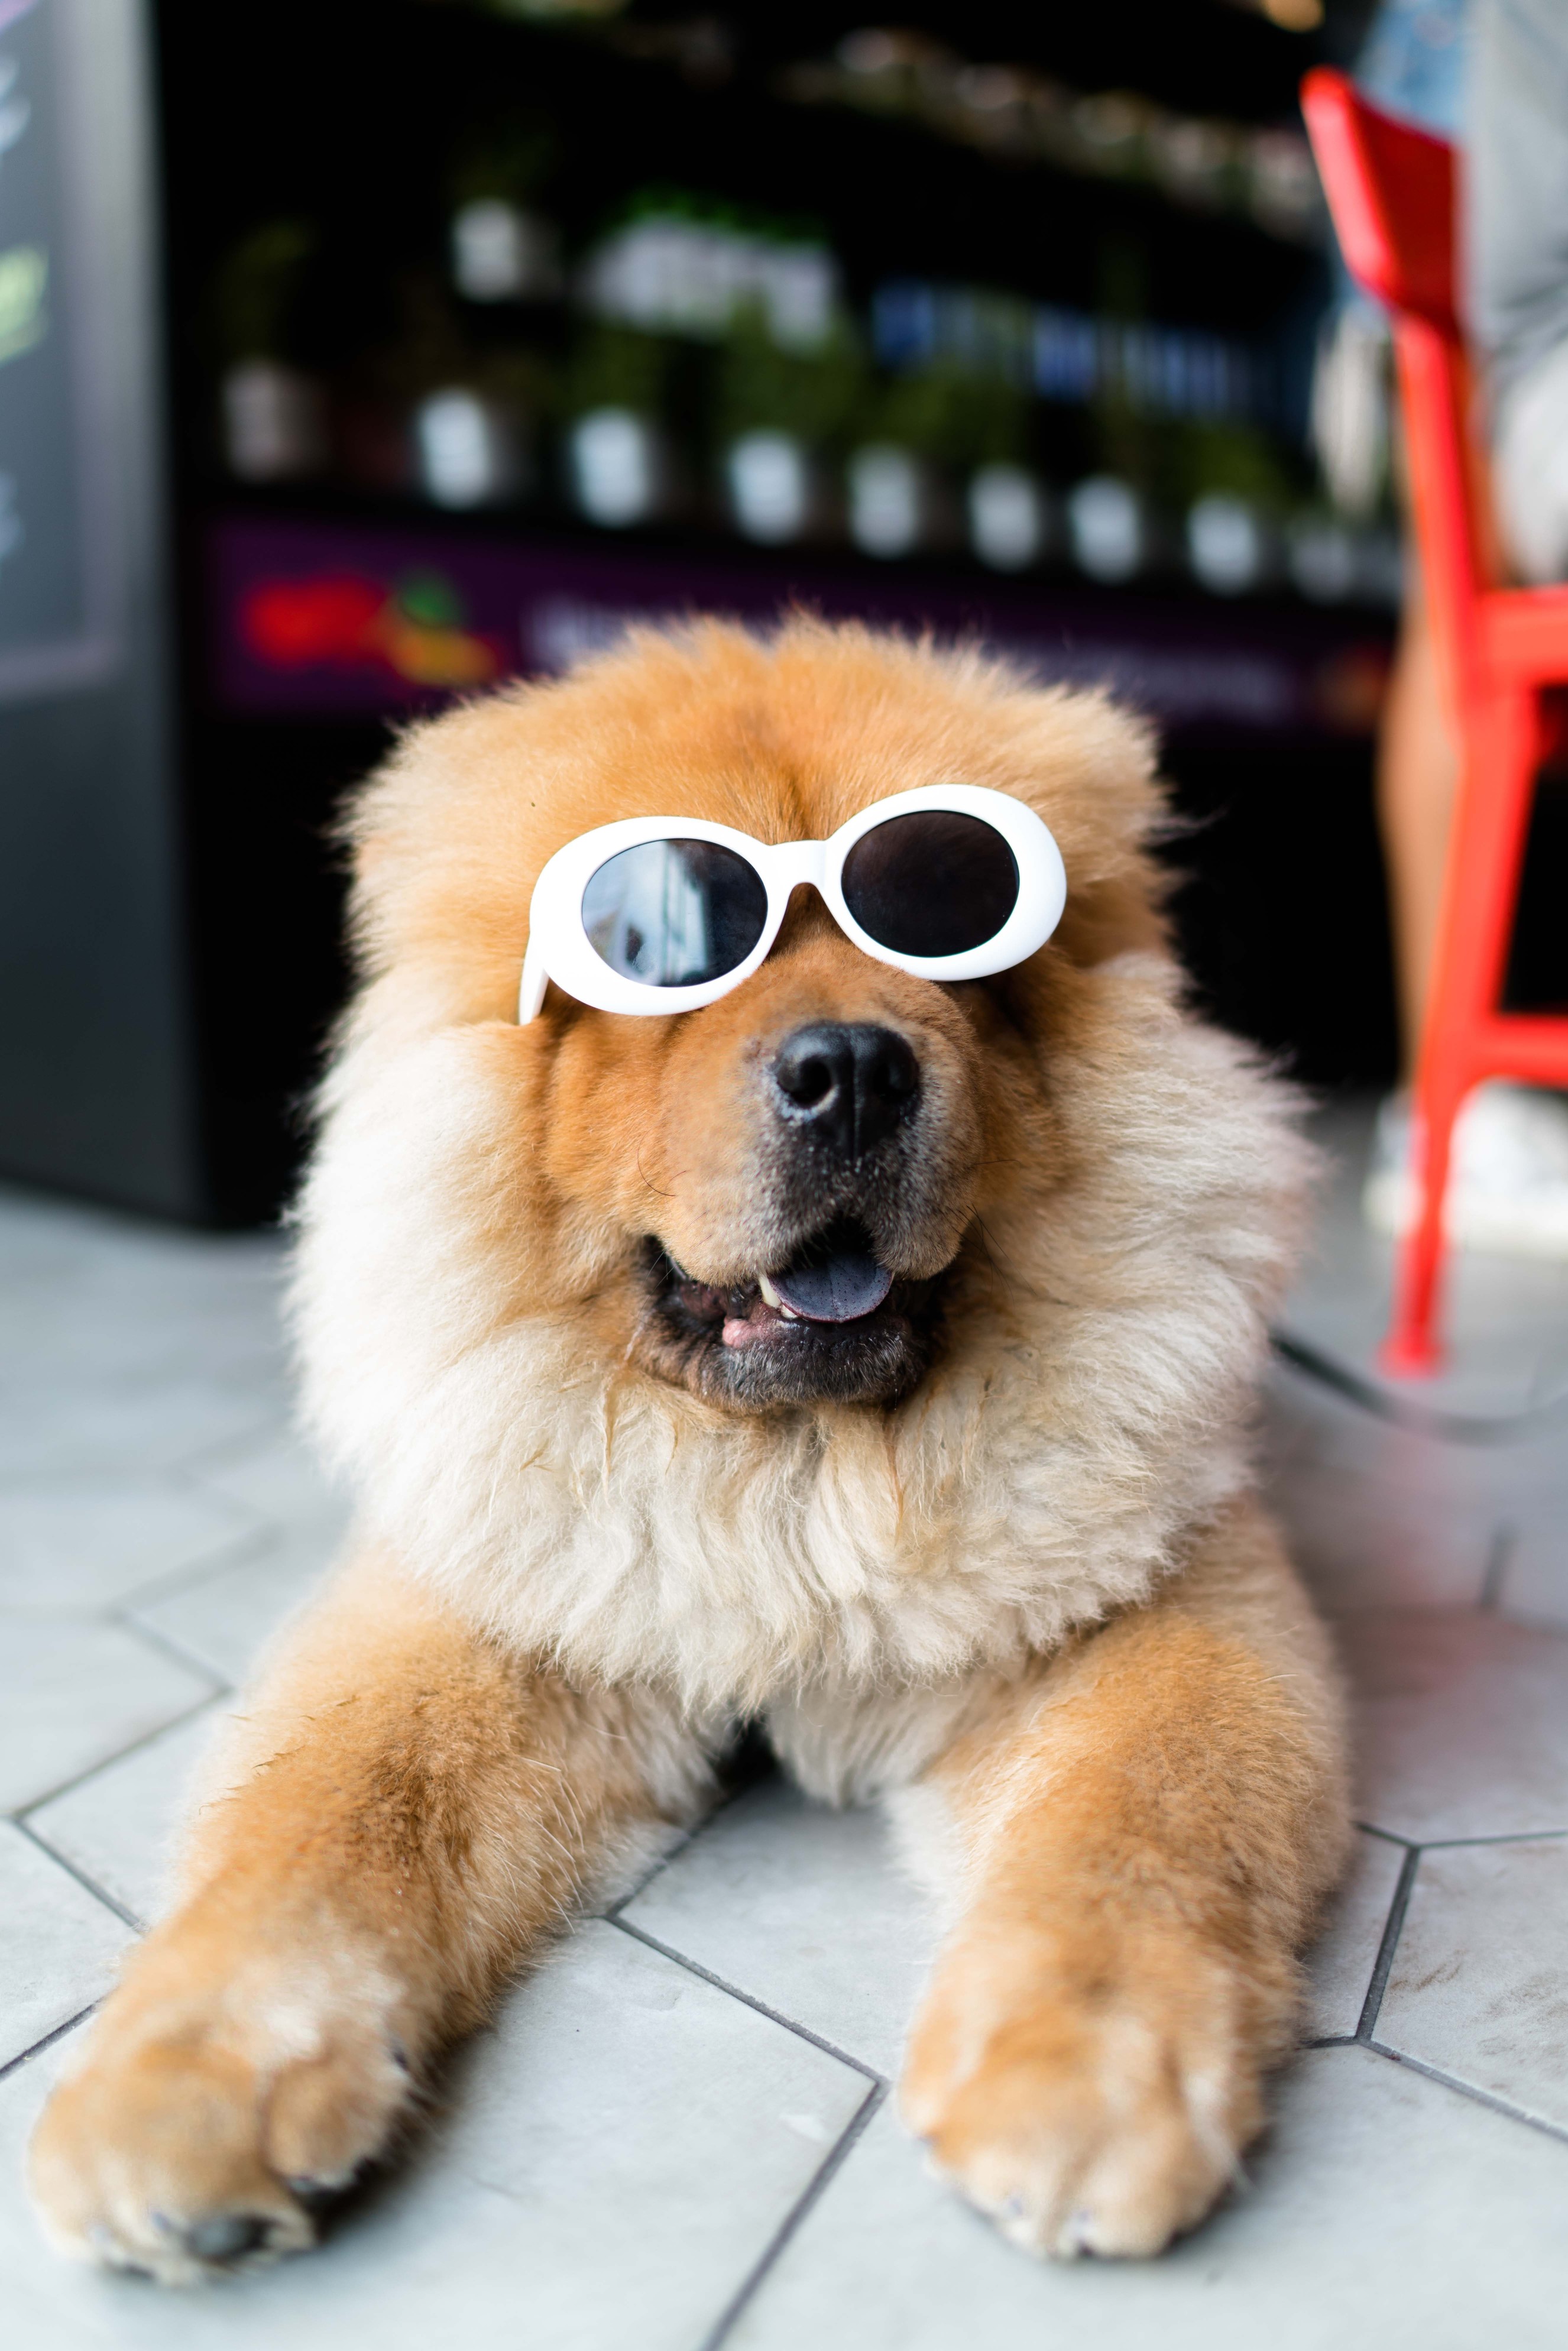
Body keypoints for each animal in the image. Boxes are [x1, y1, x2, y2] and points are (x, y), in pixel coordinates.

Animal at [27, 620, 1354, 2275]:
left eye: (946, 918)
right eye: (660, 944)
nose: (852, 1065)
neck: (790, 1473)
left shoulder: (1162, 1617)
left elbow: (1142, 1830)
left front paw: (1082, 2076)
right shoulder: (481, 1612)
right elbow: (321, 1820)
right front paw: (191, 2076)